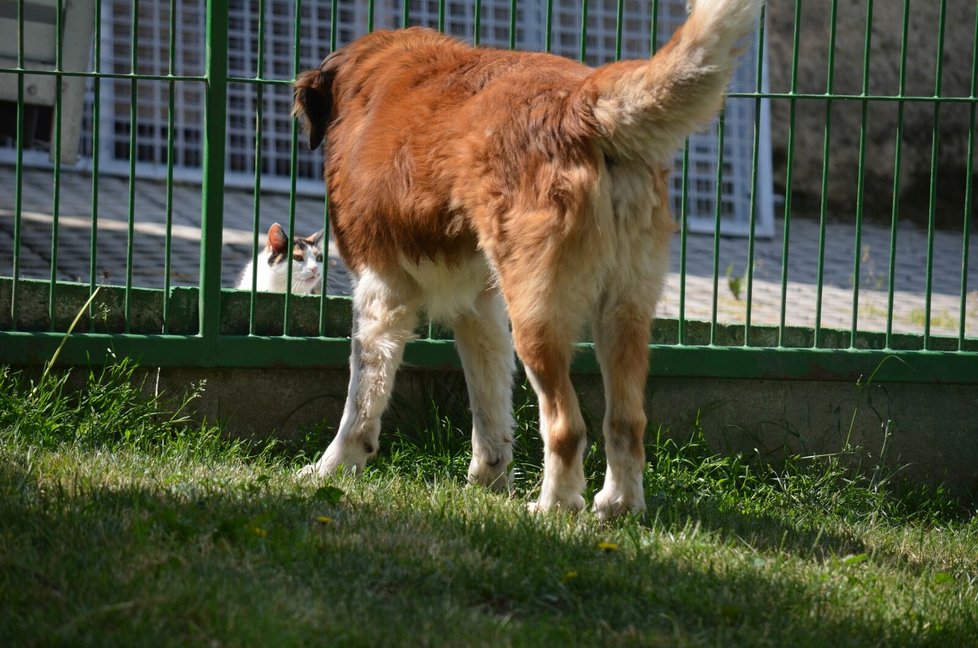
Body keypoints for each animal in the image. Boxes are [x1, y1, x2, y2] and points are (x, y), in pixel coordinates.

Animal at [290, 0, 764, 520]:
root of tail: (582, 101)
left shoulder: (381, 288)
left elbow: (361, 396)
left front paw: (331, 468)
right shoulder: (478, 305)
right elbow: (489, 402)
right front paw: (488, 479)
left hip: (537, 313)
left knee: (566, 425)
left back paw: (553, 507)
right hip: (623, 311)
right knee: (626, 421)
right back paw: (616, 506)